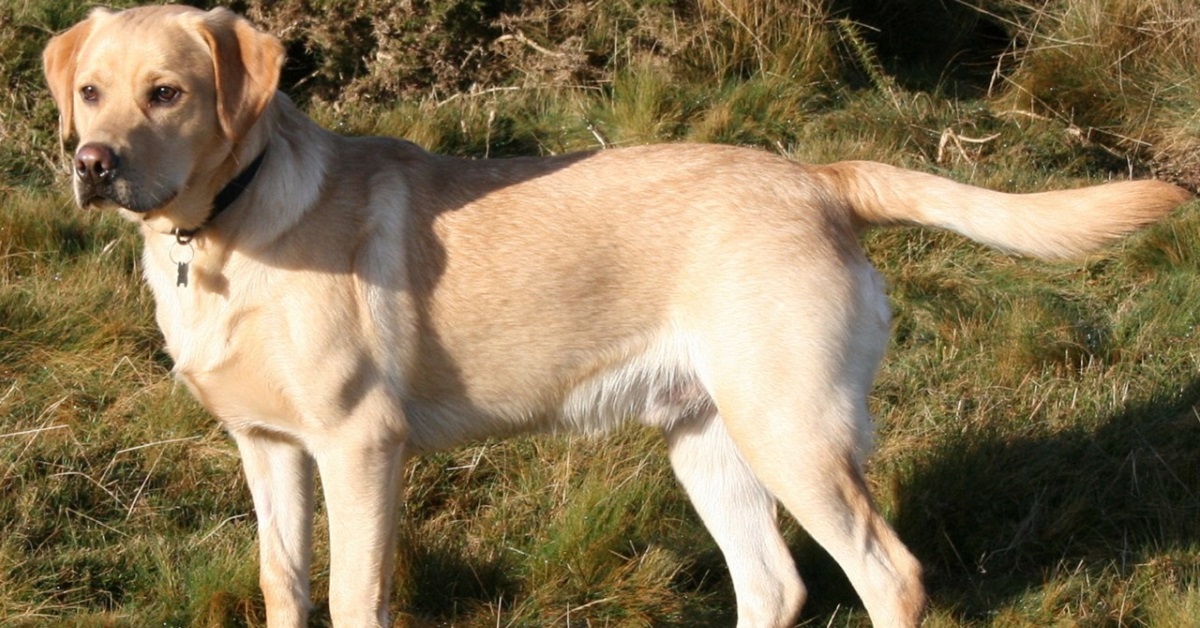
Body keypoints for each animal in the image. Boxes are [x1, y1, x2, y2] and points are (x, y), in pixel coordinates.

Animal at [42, 6, 1185, 628]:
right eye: (90, 92)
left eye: (168, 93)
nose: (89, 164)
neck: (222, 233)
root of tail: (818, 178)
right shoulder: (269, 449)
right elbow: (286, 587)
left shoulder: (363, 447)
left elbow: (360, 596)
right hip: (710, 443)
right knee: (774, 584)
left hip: (793, 432)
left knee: (888, 575)